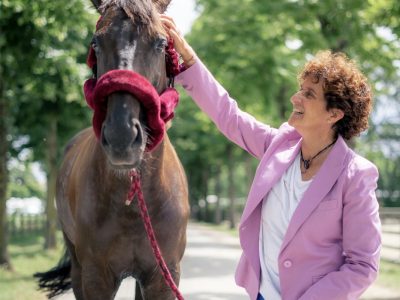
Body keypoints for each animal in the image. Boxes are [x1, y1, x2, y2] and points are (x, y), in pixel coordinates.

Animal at [34, 0, 189, 300]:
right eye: (96, 43)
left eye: (161, 43)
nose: (121, 136)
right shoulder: (96, 277)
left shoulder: (163, 278)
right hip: (78, 268)